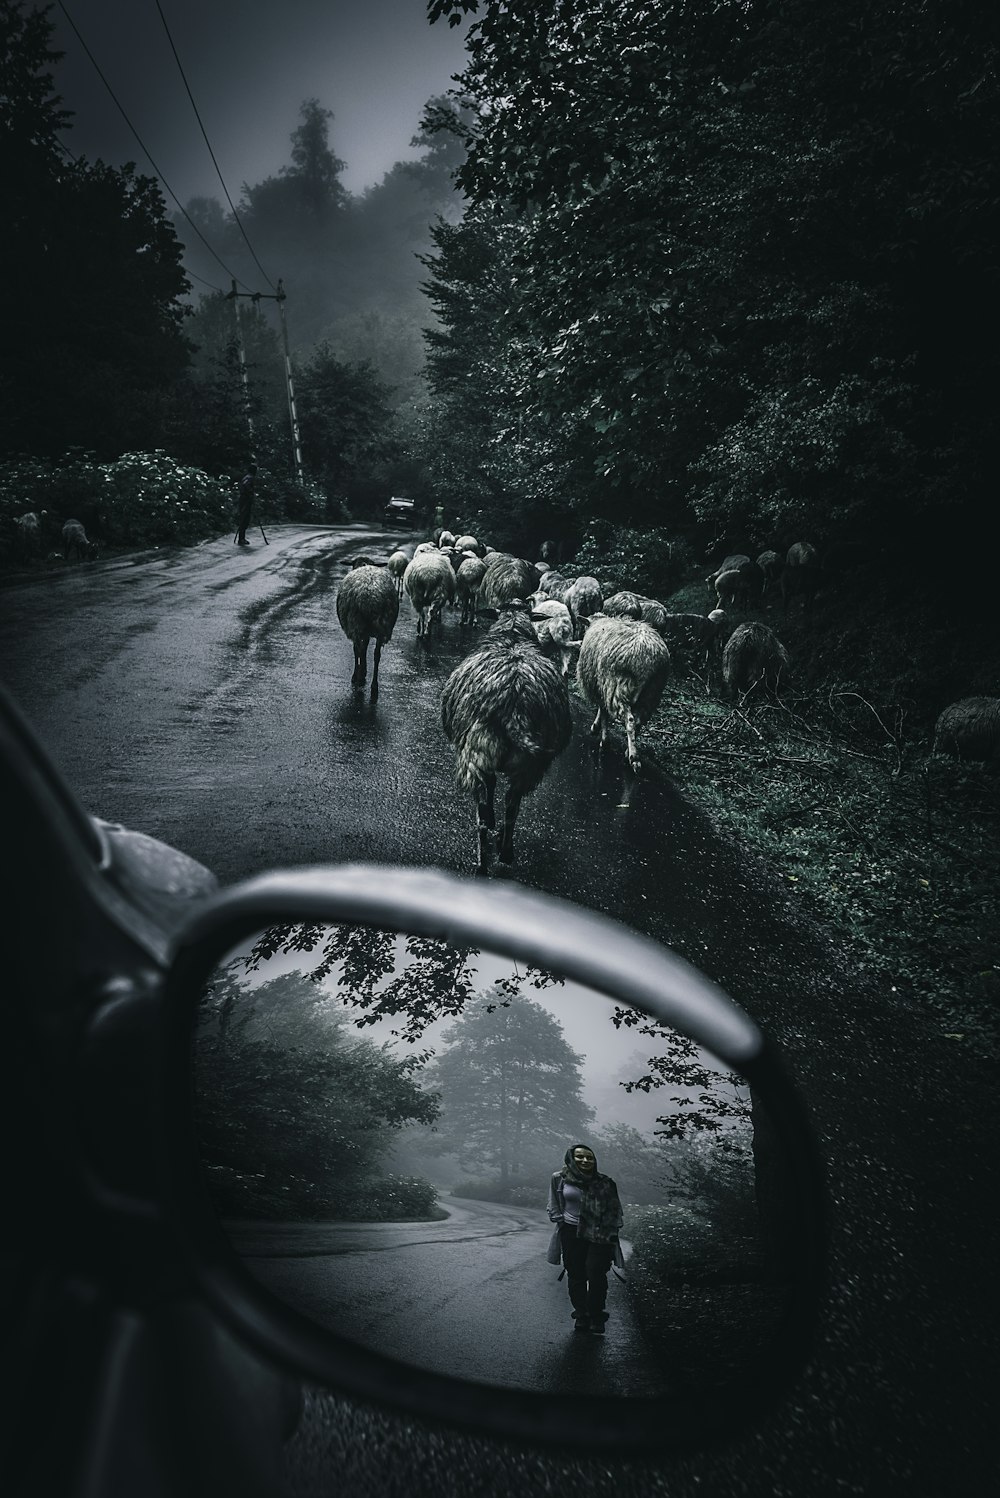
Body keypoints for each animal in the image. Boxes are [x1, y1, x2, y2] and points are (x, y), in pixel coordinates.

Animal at [443, 602, 574, 874]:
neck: (512, 635)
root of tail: (516, 707)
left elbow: (491, 789)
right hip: (530, 767)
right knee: (513, 806)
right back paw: (505, 851)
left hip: (476, 754)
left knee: (482, 811)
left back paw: (482, 861)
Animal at [574, 614, 667, 772]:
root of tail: (647, 662)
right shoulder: (602, 687)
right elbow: (602, 710)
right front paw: (597, 728)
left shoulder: (602, 684)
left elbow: (603, 712)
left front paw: (602, 737)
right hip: (650, 693)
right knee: (638, 722)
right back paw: (629, 751)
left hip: (617, 688)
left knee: (630, 721)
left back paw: (633, 758)